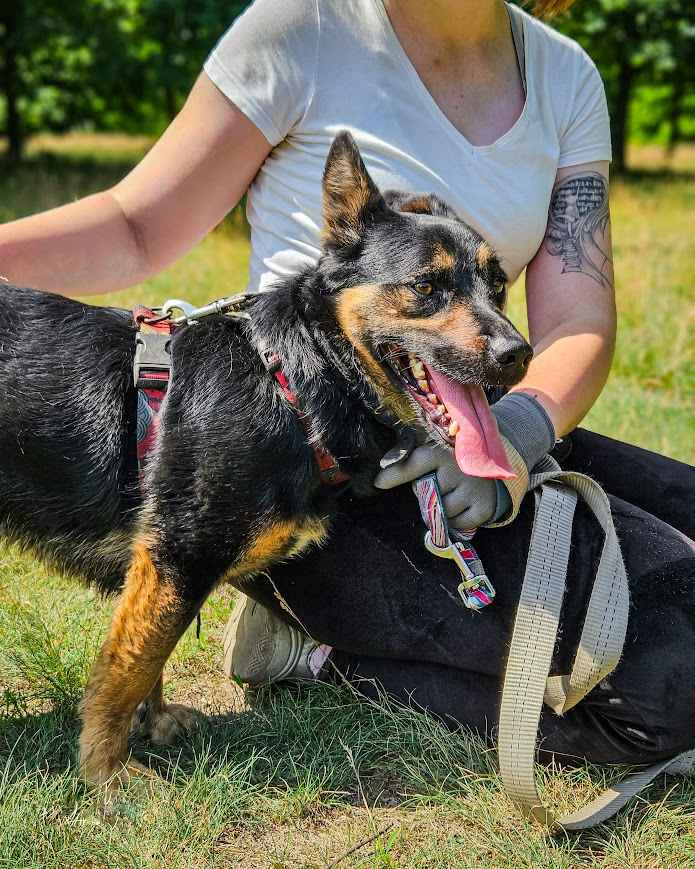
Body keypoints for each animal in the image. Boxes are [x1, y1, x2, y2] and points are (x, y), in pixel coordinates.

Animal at [0, 132, 532, 792]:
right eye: (427, 287)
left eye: (499, 286)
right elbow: (128, 666)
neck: (295, 380)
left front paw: (150, 724)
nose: (519, 354)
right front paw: (109, 770)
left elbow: (146, 653)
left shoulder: (160, 562)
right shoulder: (178, 553)